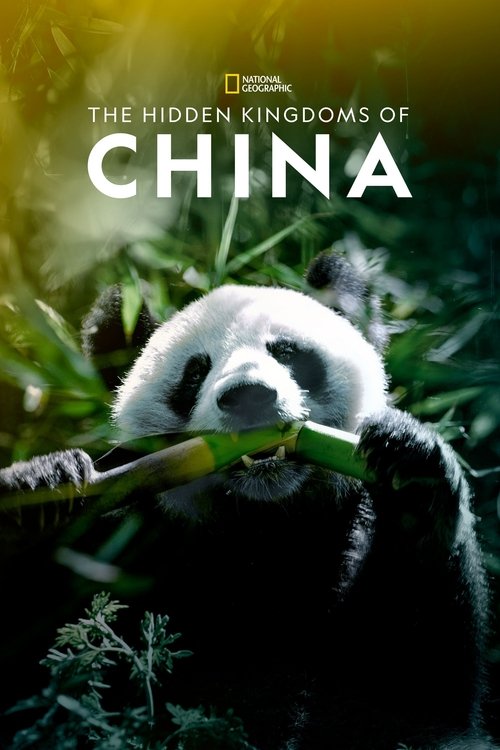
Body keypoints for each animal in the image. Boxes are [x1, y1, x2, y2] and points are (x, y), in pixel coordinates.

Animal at [0, 254, 494, 750]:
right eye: (196, 372)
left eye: (287, 352)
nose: (249, 395)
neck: (263, 527)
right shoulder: (123, 548)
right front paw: (40, 494)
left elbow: (416, 686)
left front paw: (409, 469)